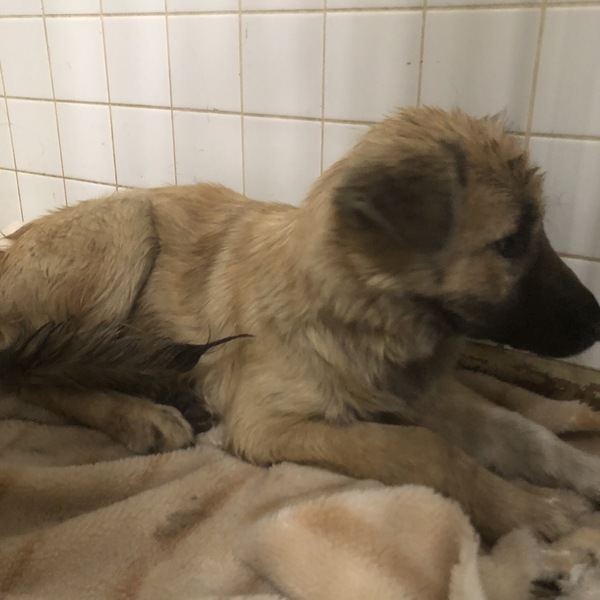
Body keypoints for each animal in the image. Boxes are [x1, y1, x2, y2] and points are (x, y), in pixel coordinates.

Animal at [2, 107, 600, 542]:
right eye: (511, 242)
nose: (597, 323)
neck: (357, 315)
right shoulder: (268, 424)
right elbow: (422, 448)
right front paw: (525, 511)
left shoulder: (423, 394)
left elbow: (526, 431)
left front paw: (581, 475)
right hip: (128, 224)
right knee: (38, 375)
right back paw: (141, 415)